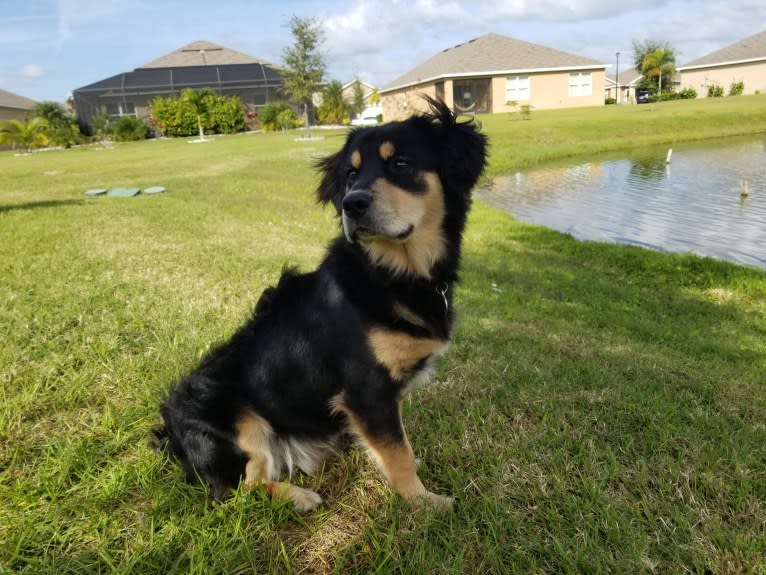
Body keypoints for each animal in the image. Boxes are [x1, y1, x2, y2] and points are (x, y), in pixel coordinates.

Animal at [153, 98, 488, 512]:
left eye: (400, 164)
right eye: (351, 174)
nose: (352, 204)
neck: (388, 273)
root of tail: (170, 436)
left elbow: (395, 444)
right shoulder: (366, 389)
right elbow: (399, 452)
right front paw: (424, 501)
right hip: (240, 422)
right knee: (241, 487)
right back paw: (298, 497)